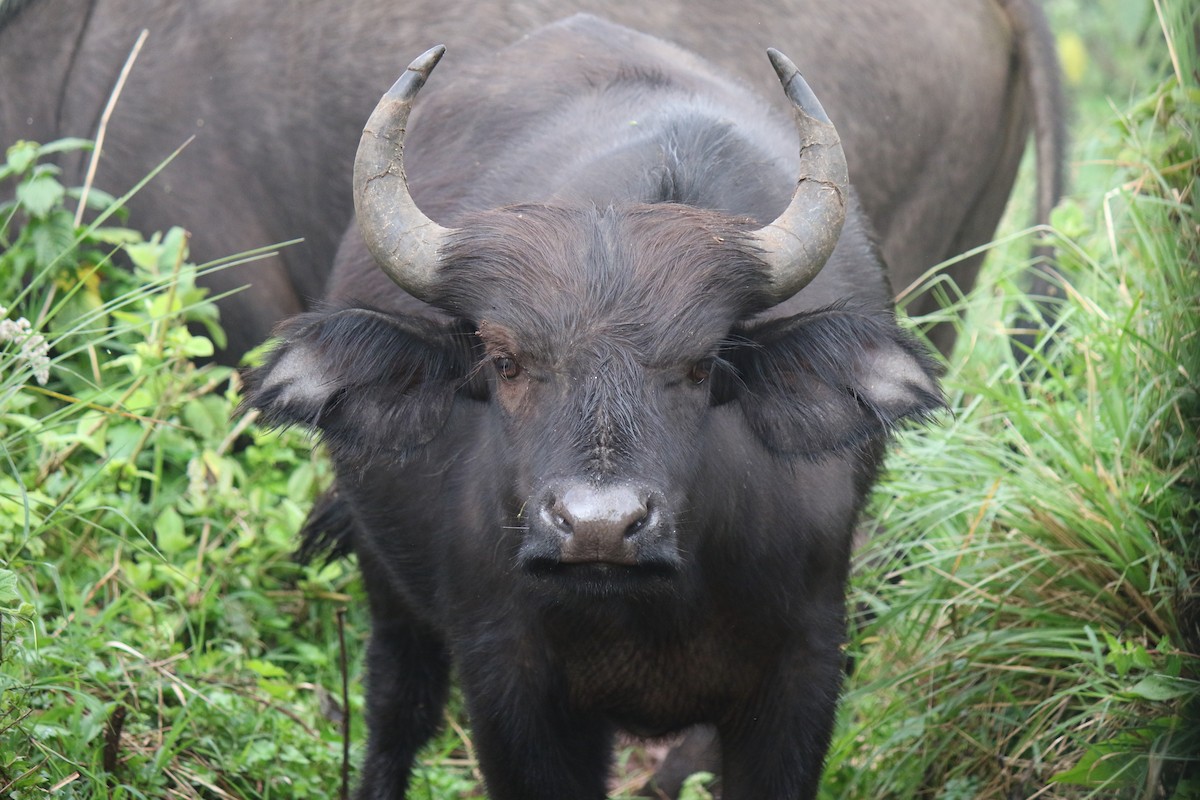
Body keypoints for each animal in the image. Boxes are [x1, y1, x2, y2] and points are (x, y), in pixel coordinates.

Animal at [249, 15, 945, 799]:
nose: (598, 527)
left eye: (702, 365)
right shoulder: (510, 684)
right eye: (505, 361)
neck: (650, 612)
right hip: (388, 582)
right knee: (398, 707)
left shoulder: (803, 674)